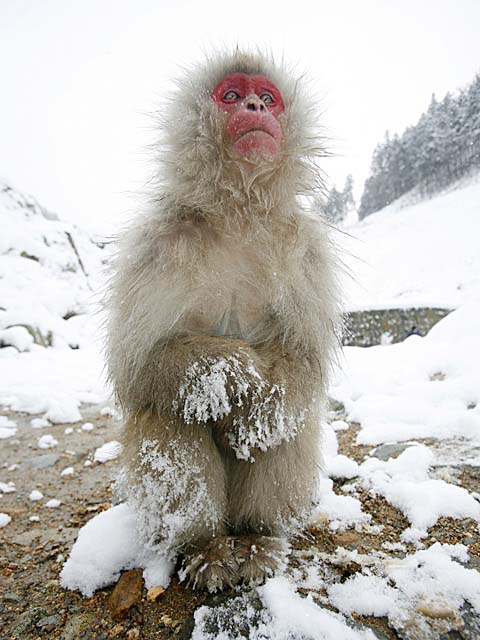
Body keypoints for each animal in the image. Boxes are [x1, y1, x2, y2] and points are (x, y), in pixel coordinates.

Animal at [107, 51, 344, 596]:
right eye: (231, 95)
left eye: (268, 98)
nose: (255, 106)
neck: (239, 212)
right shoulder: (159, 245)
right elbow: (137, 368)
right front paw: (230, 369)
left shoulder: (306, 251)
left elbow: (303, 358)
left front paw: (260, 405)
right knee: (171, 410)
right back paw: (206, 545)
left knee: (283, 423)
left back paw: (257, 535)